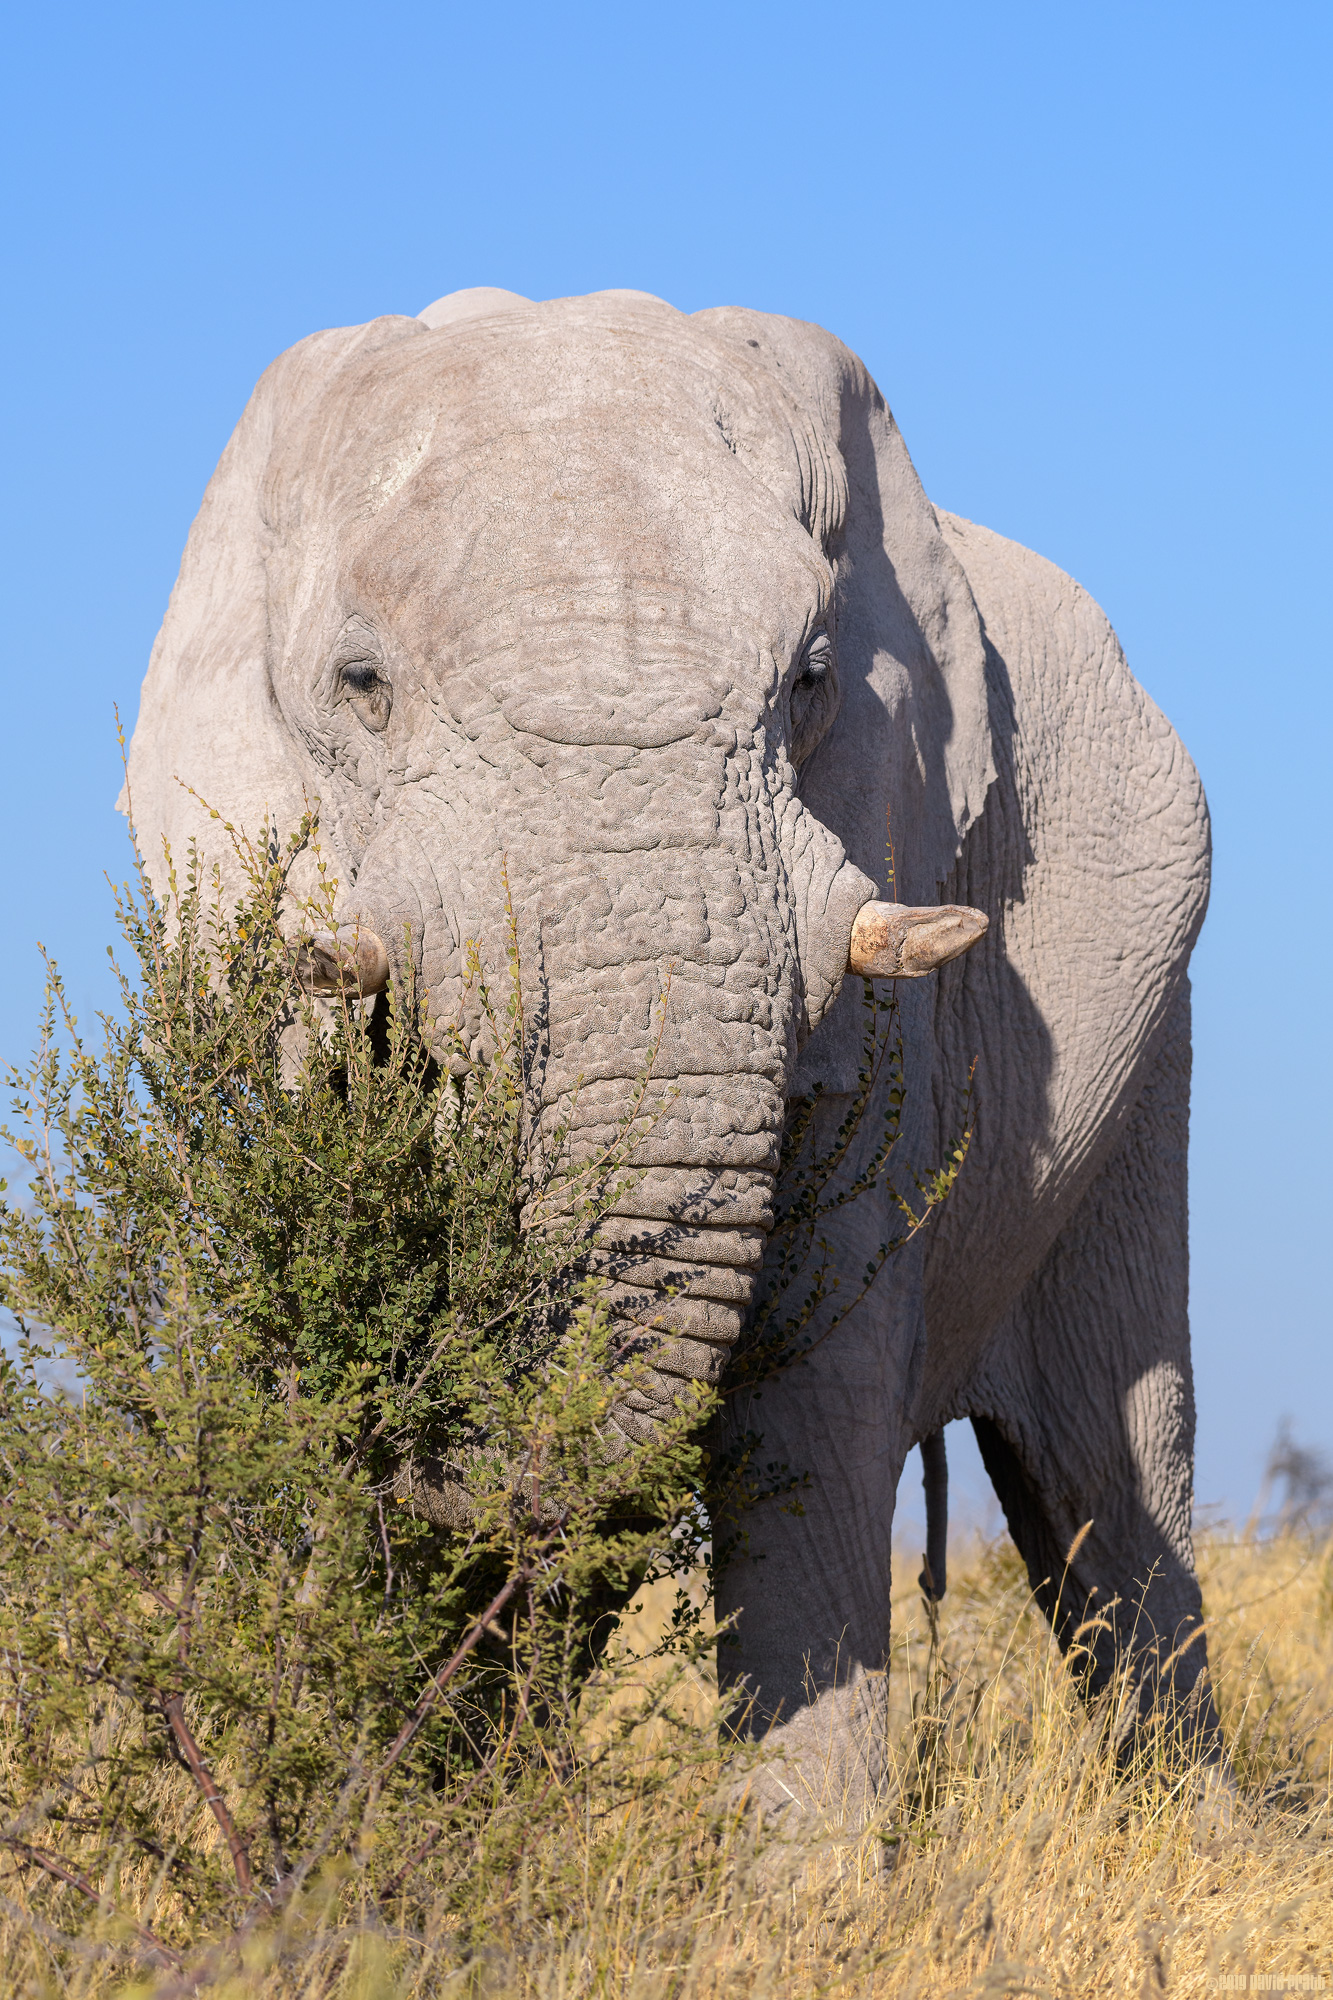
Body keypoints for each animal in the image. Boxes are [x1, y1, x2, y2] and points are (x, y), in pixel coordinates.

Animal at [124, 284, 1219, 1819]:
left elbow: (811, 1390)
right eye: (361, 685)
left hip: (1145, 1049)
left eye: (811, 680)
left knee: (1110, 1479)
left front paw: (817, 1875)